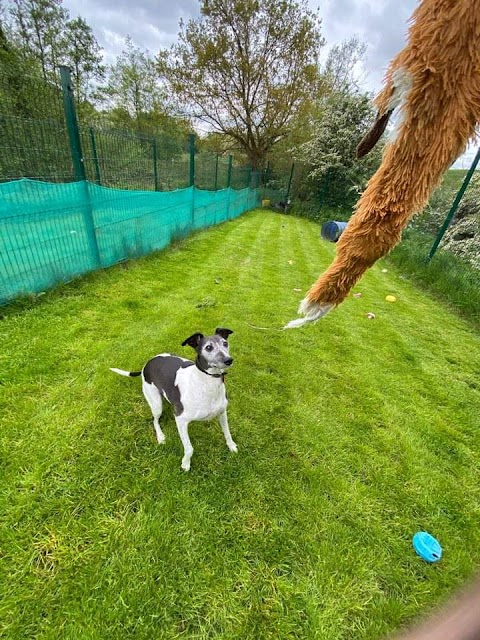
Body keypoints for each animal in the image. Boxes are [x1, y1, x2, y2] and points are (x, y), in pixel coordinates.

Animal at [109, 330, 236, 470]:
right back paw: (160, 437)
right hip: (156, 405)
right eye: (208, 347)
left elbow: (227, 433)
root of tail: (146, 364)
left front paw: (232, 446)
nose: (229, 360)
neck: (206, 382)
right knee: (155, 421)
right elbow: (189, 449)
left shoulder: (222, 413)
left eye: (225, 343)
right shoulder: (181, 419)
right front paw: (185, 463)